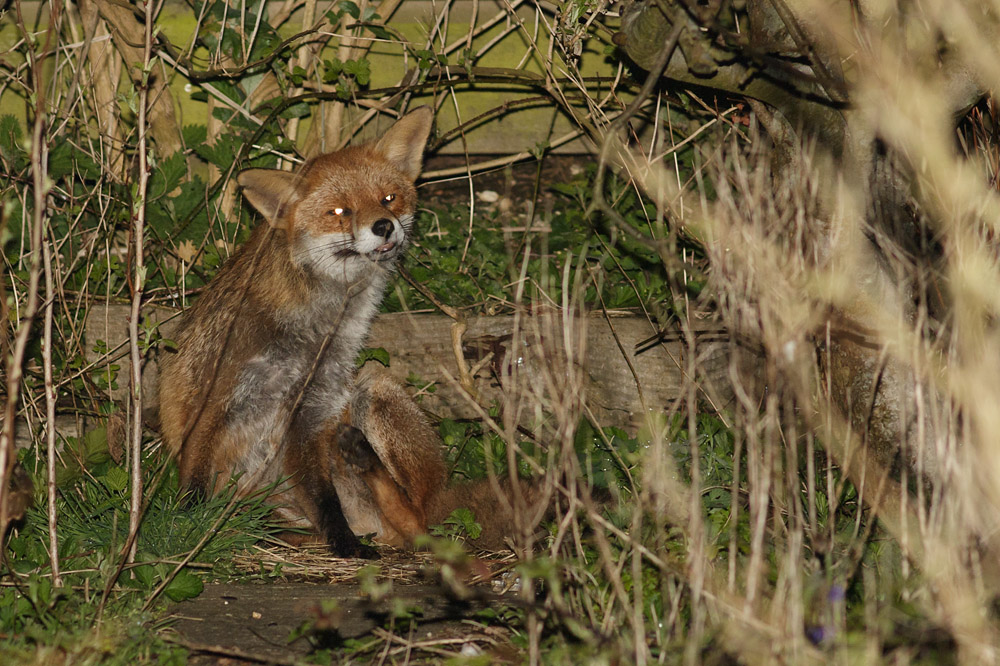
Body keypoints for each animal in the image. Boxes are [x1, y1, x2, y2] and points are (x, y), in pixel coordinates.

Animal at [158, 108, 543, 557]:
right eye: (340, 212)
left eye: (388, 198)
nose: (384, 226)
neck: (314, 334)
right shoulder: (215, 396)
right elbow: (194, 481)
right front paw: (184, 530)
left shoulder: (310, 414)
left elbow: (324, 499)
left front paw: (344, 544)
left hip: (372, 385)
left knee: (417, 522)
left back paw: (367, 478)